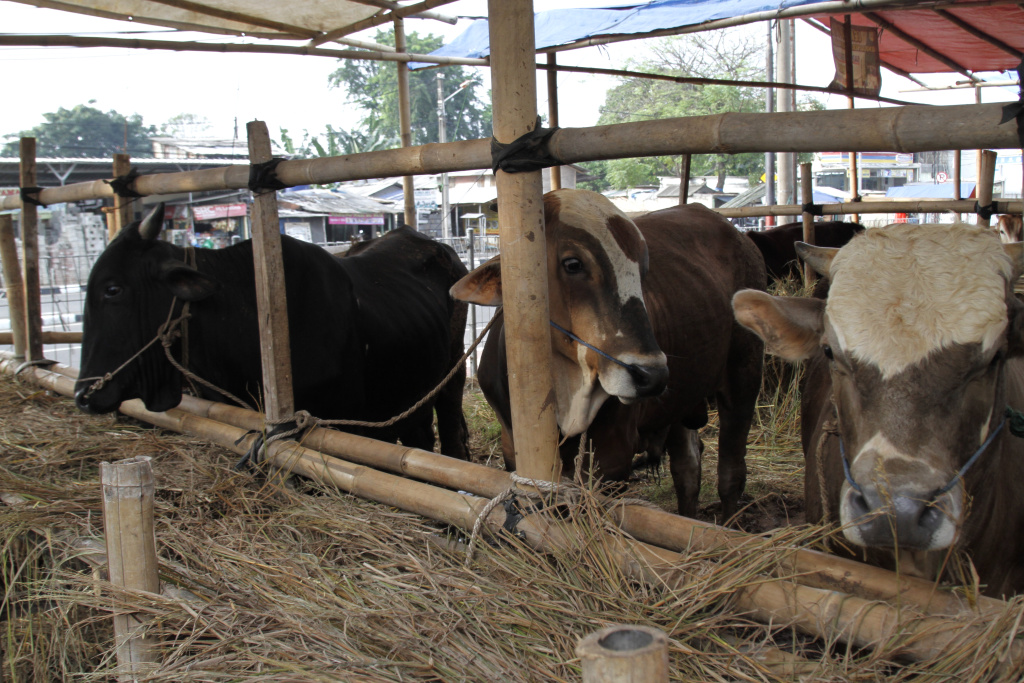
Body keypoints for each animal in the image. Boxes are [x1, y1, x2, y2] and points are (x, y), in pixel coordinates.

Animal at [452, 189, 765, 520]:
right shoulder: (512, 448)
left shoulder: (611, 461)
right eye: (573, 263)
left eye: (643, 269)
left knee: (731, 473)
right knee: (688, 470)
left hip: (744, 376)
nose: (651, 376)